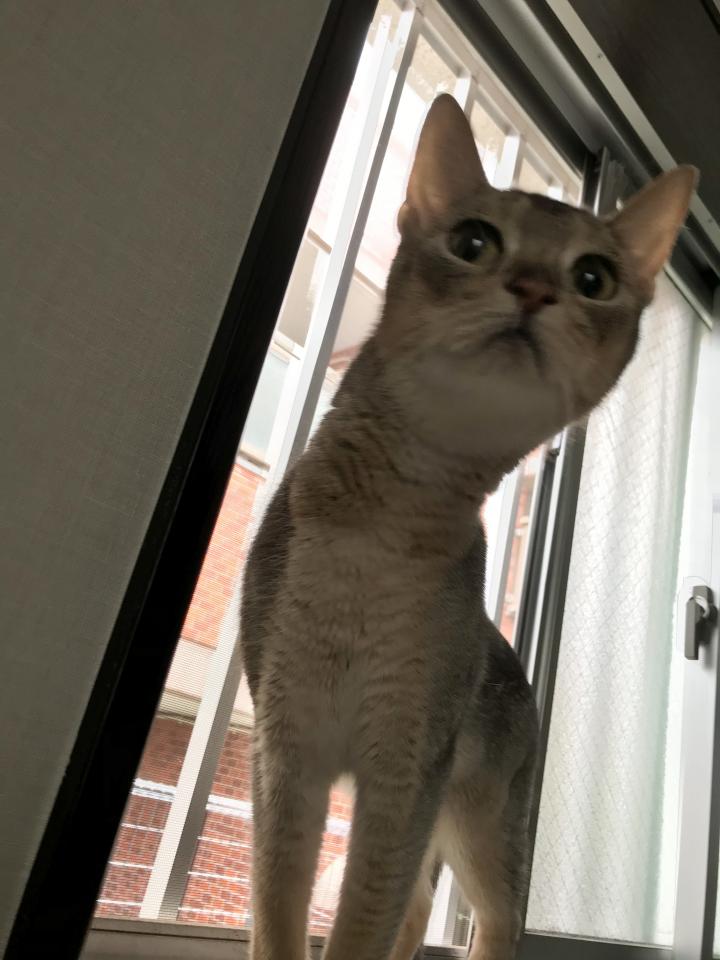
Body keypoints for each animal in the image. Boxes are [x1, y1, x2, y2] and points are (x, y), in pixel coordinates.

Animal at [240, 93, 696, 960]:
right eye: (473, 242)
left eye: (594, 278)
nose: (532, 288)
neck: (387, 521)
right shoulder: (288, 750)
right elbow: (279, 918)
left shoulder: (406, 769)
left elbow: (361, 924)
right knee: (423, 905)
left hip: (477, 813)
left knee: (496, 915)